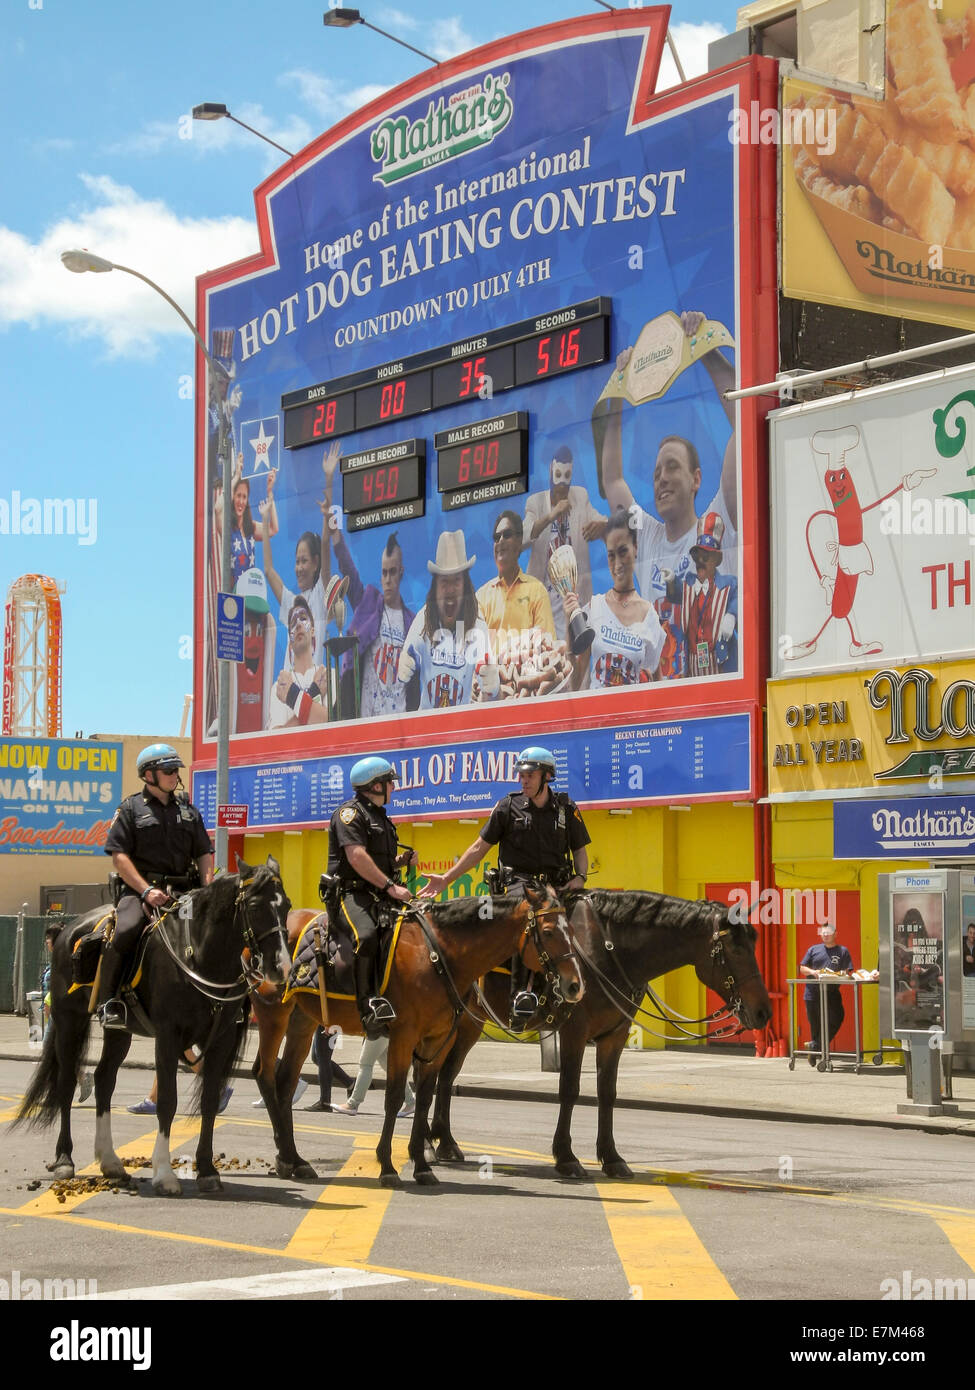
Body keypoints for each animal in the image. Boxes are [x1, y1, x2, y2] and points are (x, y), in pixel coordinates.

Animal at [15, 856, 289, 1195]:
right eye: (253, 906)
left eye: (287, 906)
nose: (281, 967)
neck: (198, 953)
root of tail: (69, 931)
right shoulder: (168, 1037)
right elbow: (168, 1101)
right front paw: (165, 1173)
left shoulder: (220, 1040)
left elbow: (209, 1101)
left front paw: (207, 1170)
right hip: (69, 1021)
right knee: (66, 1084)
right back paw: (65, 1158)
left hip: (119, 1032)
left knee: (104, 1080)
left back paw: (110, 1161)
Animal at [254, 884, 581, 1189]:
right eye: (548, 931)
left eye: (572, 930)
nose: (575, 985)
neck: (438, 955)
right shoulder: (404, 1036)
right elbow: (395, 1096)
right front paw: (387, 1166)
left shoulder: (438, 1039)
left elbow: (424, 1095)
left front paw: (421, 1164)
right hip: (273, 1014)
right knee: (264, 1074)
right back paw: (287, 1156)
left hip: (302, 1020)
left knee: (285, 1082)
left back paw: (293, 1159)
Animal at [428, 895, 773, 1178]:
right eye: (736, 948)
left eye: (755, 944)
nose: (763, 1012)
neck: (609, 952)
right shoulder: (575, 1032)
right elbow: (570, 1090)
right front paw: (566, 1157)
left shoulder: (614, 1035)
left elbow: (607, 1093)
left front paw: (612, 1157)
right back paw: (433, 1147)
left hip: (468, 1024)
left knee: (446, 1075)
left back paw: (444, 1143)